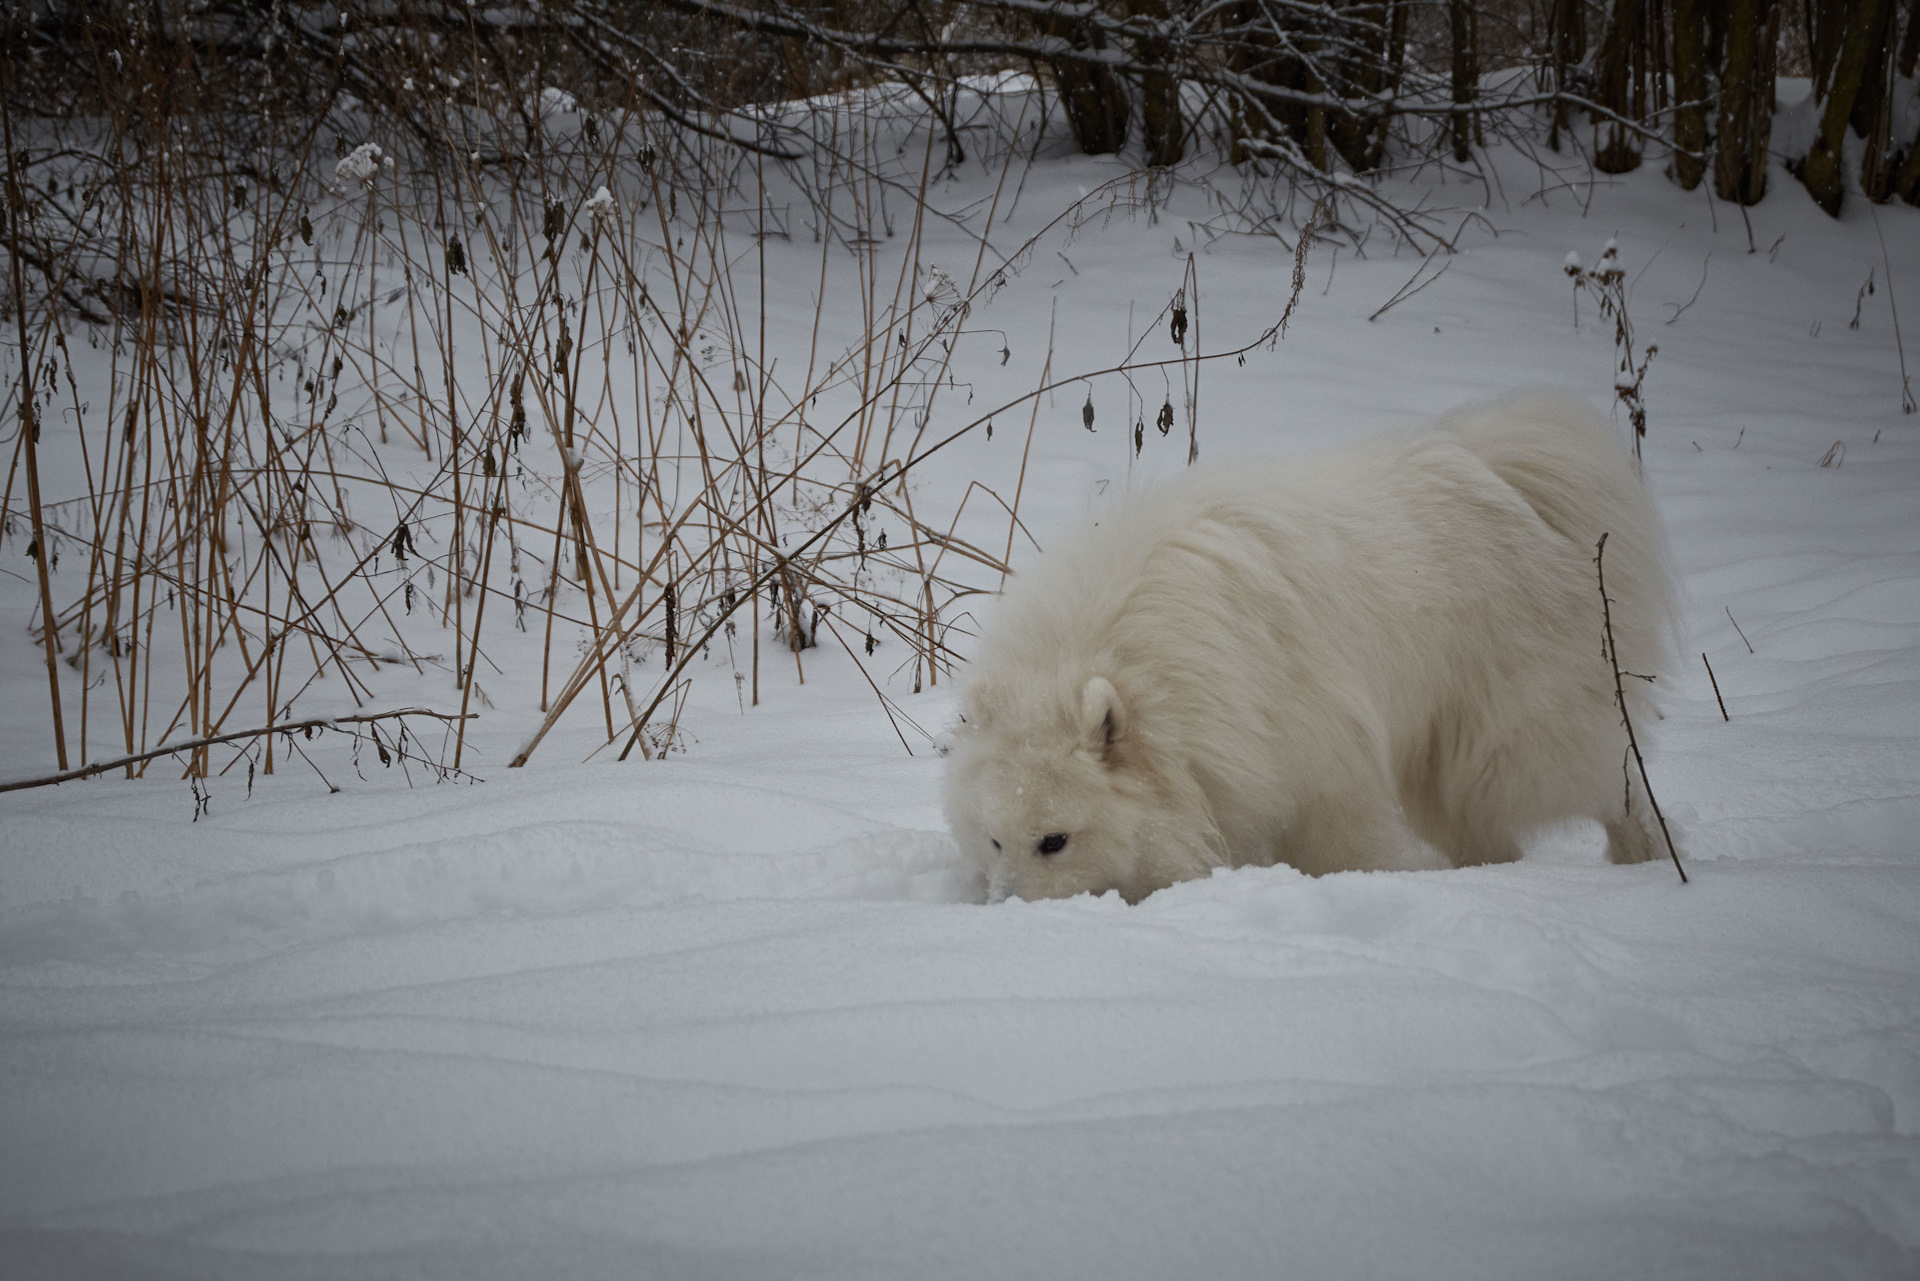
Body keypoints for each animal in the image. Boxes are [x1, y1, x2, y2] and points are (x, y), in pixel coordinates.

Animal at [948, 391, 1681, 902]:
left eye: (1055, 840)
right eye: (995, 840)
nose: (1006, 909)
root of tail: (1513, 473)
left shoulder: (1323, 771)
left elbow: (1338, 848)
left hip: (1510, 740)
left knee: (1608, 785)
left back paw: (1647, 855)